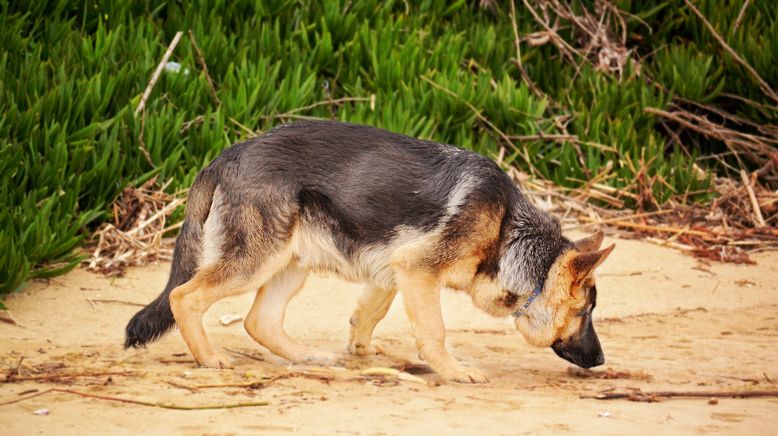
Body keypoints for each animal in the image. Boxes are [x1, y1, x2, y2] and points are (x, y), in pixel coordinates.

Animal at [126, 119, 612, 382]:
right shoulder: (418, 271)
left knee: (259, 320)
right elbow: (434, 331)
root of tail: (226, 155)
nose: (602, 359)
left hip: (291, 263)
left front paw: (360, 350)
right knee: (183, 297)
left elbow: (369, 314)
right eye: (585, 312)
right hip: (254, 262)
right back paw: (210, 359)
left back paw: (306, 357)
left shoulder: (395, 270)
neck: (508, 230)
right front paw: (453, 370)